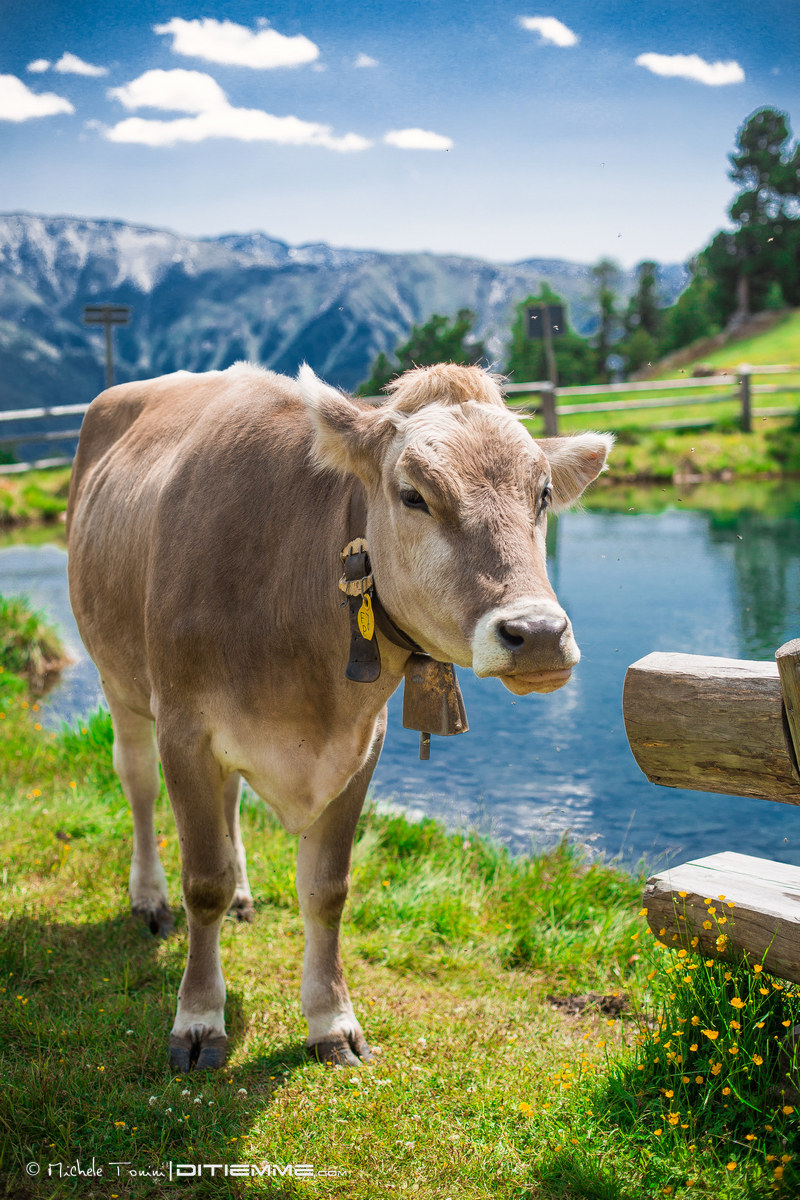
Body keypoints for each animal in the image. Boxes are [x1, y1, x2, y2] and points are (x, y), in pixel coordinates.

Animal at [66, 361, 612, 1071]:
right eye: (413, 495)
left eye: (543, 494)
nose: (539, 634)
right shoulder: (187, 731)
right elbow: (203, 882)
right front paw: (198, 1020)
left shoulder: (359, 746)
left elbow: (327, 888)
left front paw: (331, 1020)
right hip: (121, 685)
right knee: (136, 785)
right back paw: (149, 899)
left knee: (231, 803)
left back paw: (244, 895)